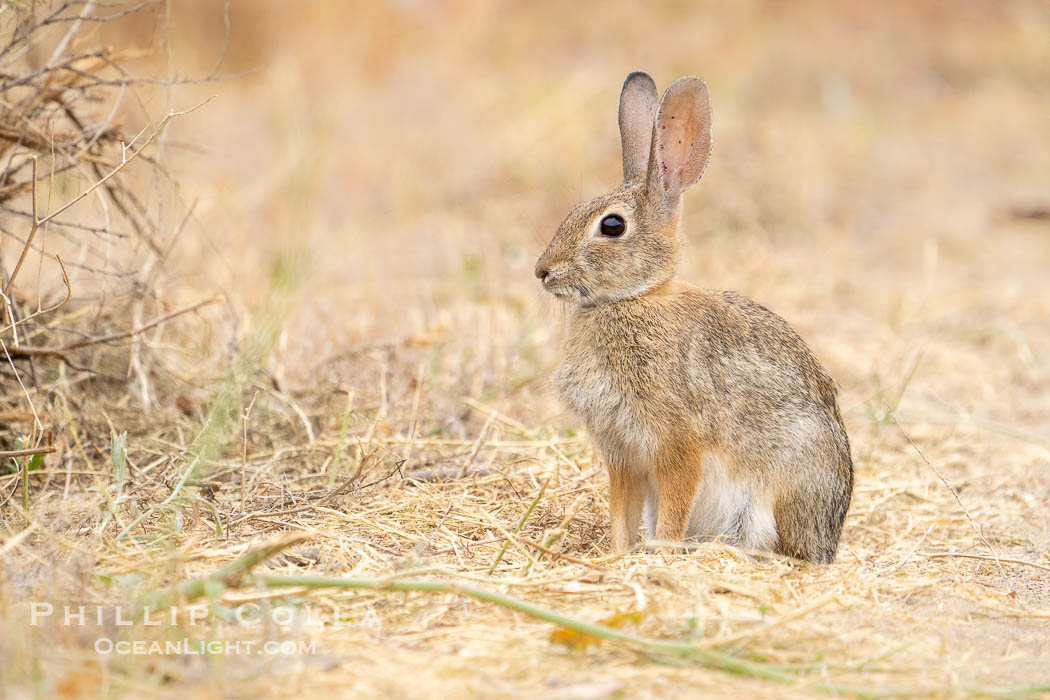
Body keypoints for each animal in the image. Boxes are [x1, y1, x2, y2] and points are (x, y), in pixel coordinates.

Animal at [533, 72, 852, 562]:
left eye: (612, 226)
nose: (542, 271)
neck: (632, 299)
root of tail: (825, 544)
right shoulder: (622, 454)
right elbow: (621, 513)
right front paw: (619, 556)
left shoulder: (678, 443)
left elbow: (674, 507)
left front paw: (661, 554)